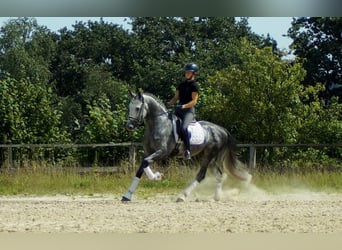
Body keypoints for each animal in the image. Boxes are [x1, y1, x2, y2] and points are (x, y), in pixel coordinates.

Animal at [121, 91, 250, 201]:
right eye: (129, 107)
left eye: (137, 108)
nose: (129, 126)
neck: (158, 124)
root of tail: (222, 130)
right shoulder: (148, 152)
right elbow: (141, 167)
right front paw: (127, 196)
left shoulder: (162, 152)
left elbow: (145, 162)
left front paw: (157, 177)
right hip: (210, 157)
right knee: (219, 174)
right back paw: (216, 197)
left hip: (209, 155)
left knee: (202, 175)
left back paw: (183, 196)